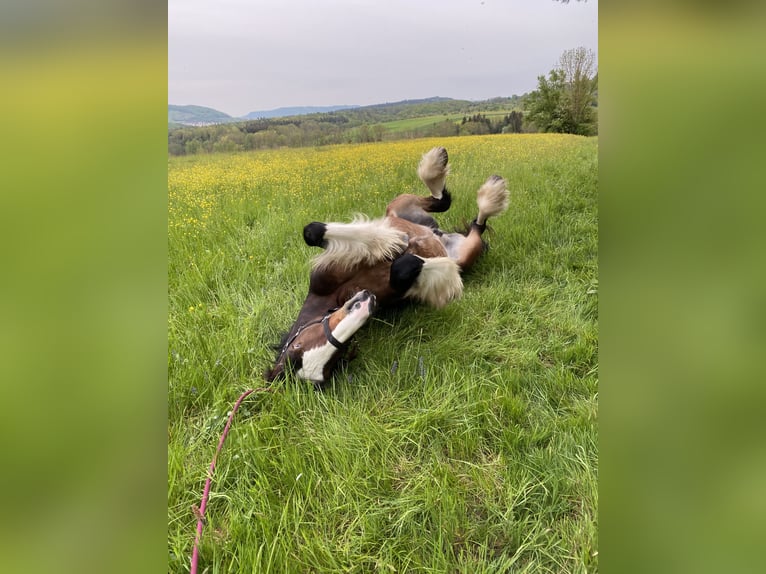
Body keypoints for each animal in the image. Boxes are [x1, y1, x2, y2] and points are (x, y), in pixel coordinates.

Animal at [265, 146, 509, 384]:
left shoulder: (323, 275)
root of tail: (443, 234)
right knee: (471, 223)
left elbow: (312, 231)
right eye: (337, 357)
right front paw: (442, 272)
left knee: (448, 204)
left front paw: (388, 241)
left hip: (400, 205)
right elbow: (405, 267)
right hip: (467, 251)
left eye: (299, 345)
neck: (336, 295)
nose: (365, 304)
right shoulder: (397, 289)